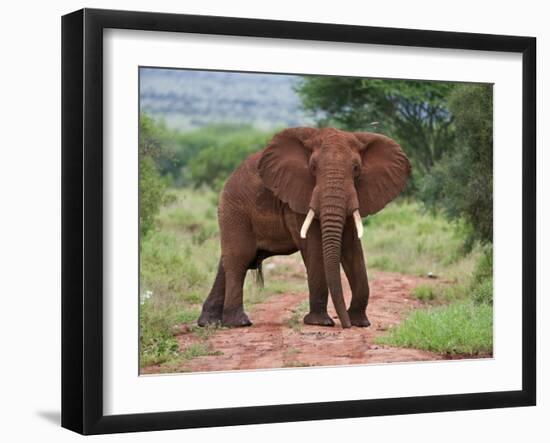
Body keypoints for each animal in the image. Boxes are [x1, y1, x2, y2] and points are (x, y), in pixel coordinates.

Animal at [197, 126, 410, 328]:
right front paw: (321, 322)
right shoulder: (298, 198)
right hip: (234, 208)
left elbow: (352, 249)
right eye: (313, 167)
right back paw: (238, 323)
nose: (345, 325)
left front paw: (360, 323)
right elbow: (314, 247)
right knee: (239, 258)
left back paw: (209, 323)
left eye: (356, 168)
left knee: (229, 260)